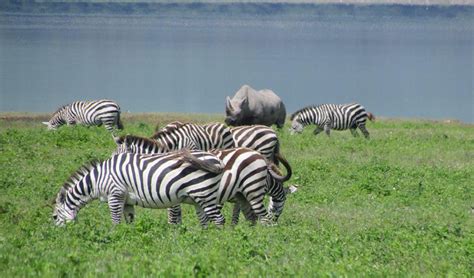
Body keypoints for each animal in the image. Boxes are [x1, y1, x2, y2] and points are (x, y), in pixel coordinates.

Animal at [52, 151, 228, 227]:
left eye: (54, 217)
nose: (56, 236)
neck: (98, 179)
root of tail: (218, 160)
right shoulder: (127, 201)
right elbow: (129, 221)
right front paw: (129, 237)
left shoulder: (115, 194)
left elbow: (115, 221)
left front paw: (113, 238)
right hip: (199, 197)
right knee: (204, 221)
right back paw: (202, 240)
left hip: (205, 194)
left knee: (219, 220)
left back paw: (218, 243)